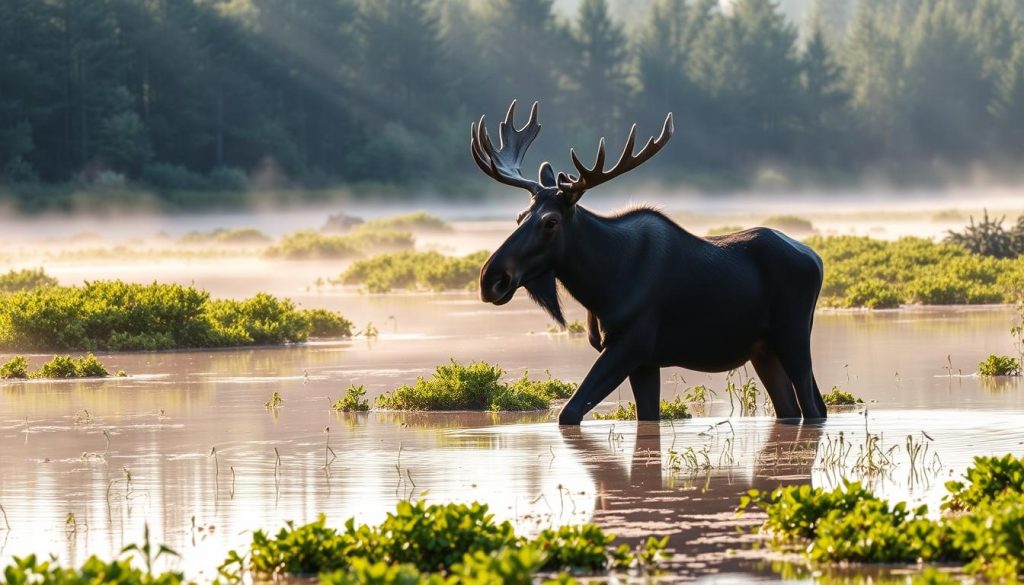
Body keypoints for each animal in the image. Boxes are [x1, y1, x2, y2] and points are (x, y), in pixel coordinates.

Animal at [475, 98, 827, 424]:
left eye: (550, 221)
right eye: (520, 215)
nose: (491, 279)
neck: (601, 286)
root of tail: (817, 260)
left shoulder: (631, 343)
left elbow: (570, 412)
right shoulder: (645, 361)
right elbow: (645, 415)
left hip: (793, 335)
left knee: (813, 406)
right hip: (764, 349)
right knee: (791, 407)